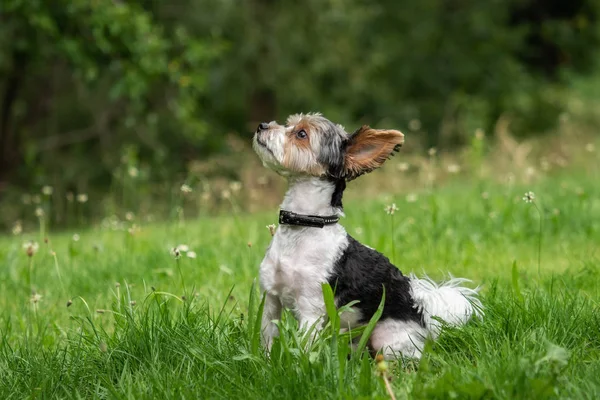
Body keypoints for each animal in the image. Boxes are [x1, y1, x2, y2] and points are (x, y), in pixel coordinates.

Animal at [253, 112, 482, 360]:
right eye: (289, 124)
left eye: (301, 134)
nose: (262, 125)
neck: (306, 225)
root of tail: (421, 308)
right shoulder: (270, 299)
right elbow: (267, 340)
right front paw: (266, 364)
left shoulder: (310, 311)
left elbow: (304, 350)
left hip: (388, 339)